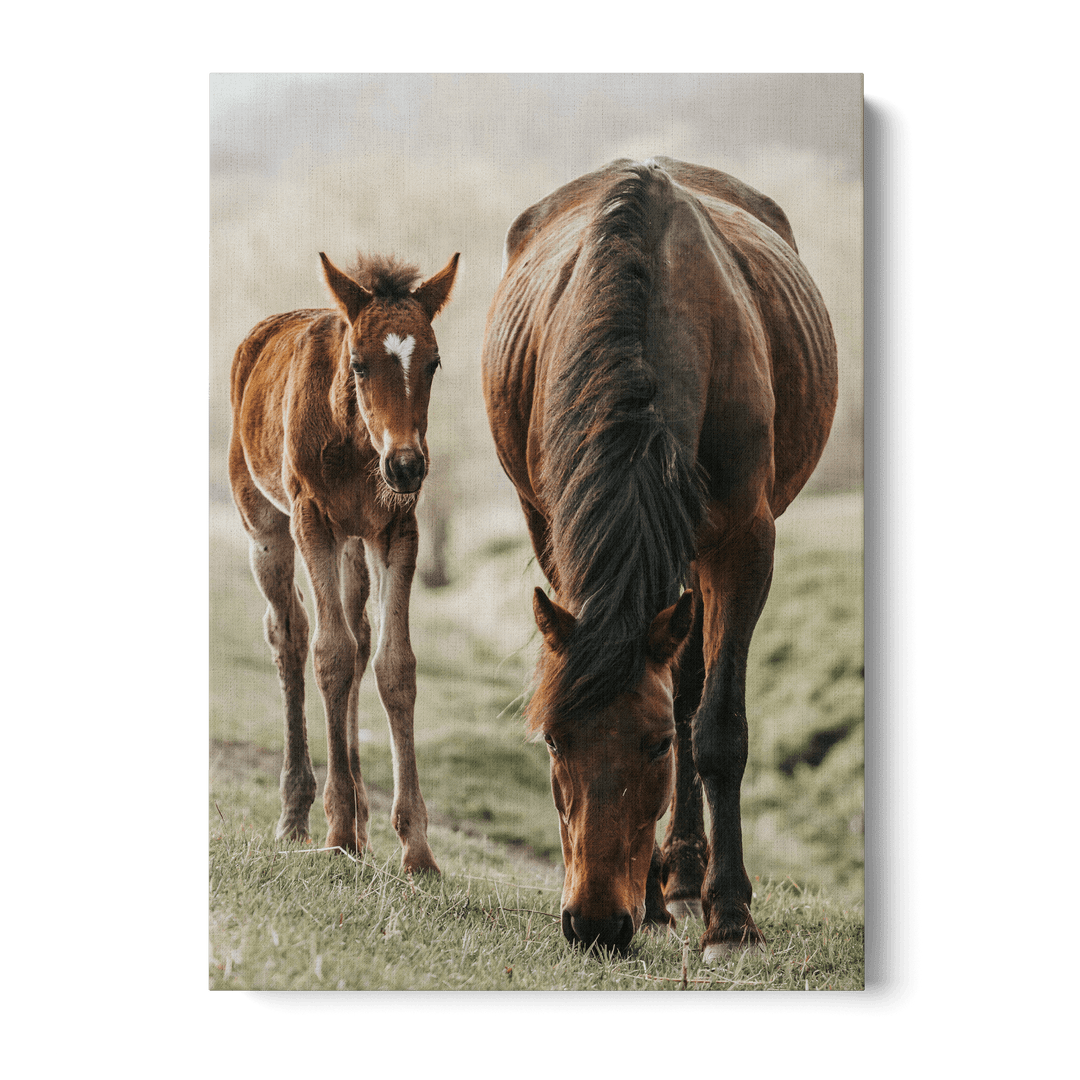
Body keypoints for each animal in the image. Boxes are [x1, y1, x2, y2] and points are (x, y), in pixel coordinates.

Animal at [229, 249, 459, 873]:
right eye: (358, 364)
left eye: (433, 363)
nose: (406, 466)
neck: (359, 447)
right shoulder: (313, 520)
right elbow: (328, 653)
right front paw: (335, 832)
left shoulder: (396, 529)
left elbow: (393, 665)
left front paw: (416, 849)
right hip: (266, 526)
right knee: (289, 633)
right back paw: (299, 813)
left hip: (355, 546)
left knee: (359, 638)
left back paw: (360, 817)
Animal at [481, 158, 837, 958]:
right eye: (554, 741)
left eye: (653, 749)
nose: (594, 923)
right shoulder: (557, 534)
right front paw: (650, 898)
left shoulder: (744, 542)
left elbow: (714, 727)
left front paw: (729, 918)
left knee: (691, 688)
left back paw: (691, 877)